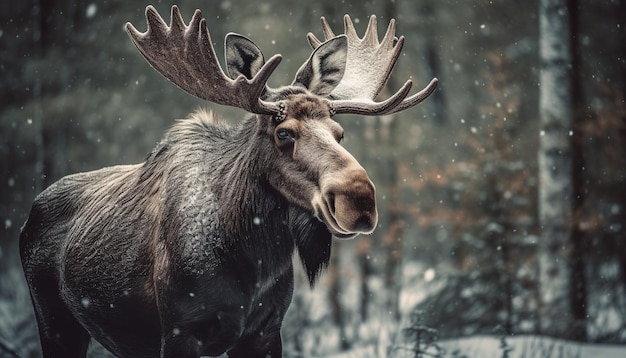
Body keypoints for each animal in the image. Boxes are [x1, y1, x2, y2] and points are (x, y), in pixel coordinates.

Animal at [19, 5, 436, 358]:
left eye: (340, 133)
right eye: (284, 132)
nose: (359, 199)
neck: (252, 257)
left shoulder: (265, 332)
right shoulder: (179, 333)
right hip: (56, 323)